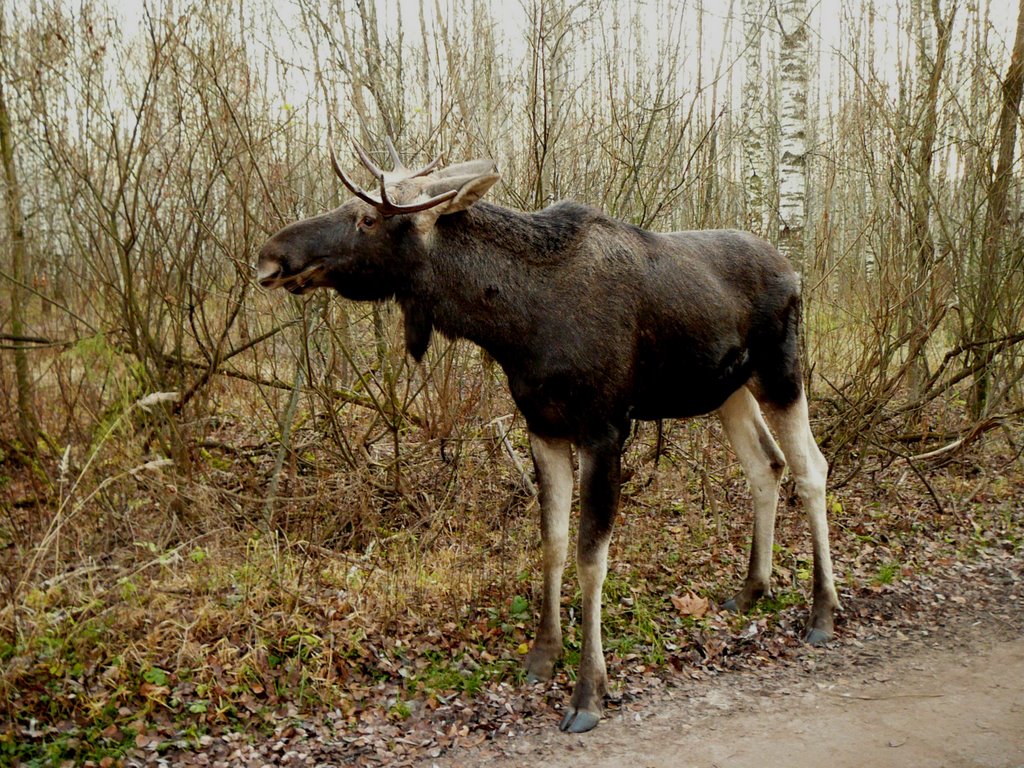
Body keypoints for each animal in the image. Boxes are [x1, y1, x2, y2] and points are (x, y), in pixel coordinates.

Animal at [258, 141, 839, 737]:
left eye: (367, 219)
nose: (270, 256)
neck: (512, 325)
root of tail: (794, 272)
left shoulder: (605, 429)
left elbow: (590, 558)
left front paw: (589, 691)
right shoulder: (543, 426)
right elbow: (552, 542)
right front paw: (544, 654)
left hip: (781, 371)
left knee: (811, 469)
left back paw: (822, 612)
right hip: (726, 390)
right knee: (766, 465)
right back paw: (751, 589)